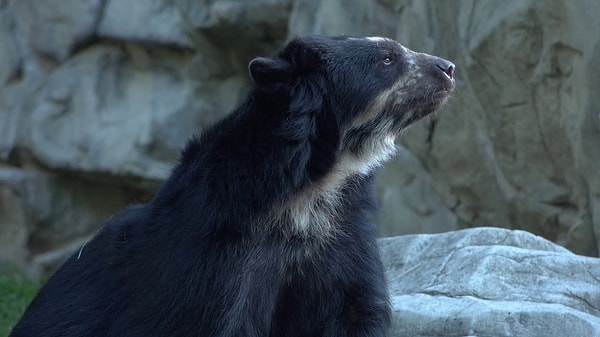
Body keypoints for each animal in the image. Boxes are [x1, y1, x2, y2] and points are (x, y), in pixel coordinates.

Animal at [10, 35, 454, 334]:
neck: (309, 190)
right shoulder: (210, 252)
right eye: (387, 59)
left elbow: (352, 309)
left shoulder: (341, 236)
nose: (448, 67)